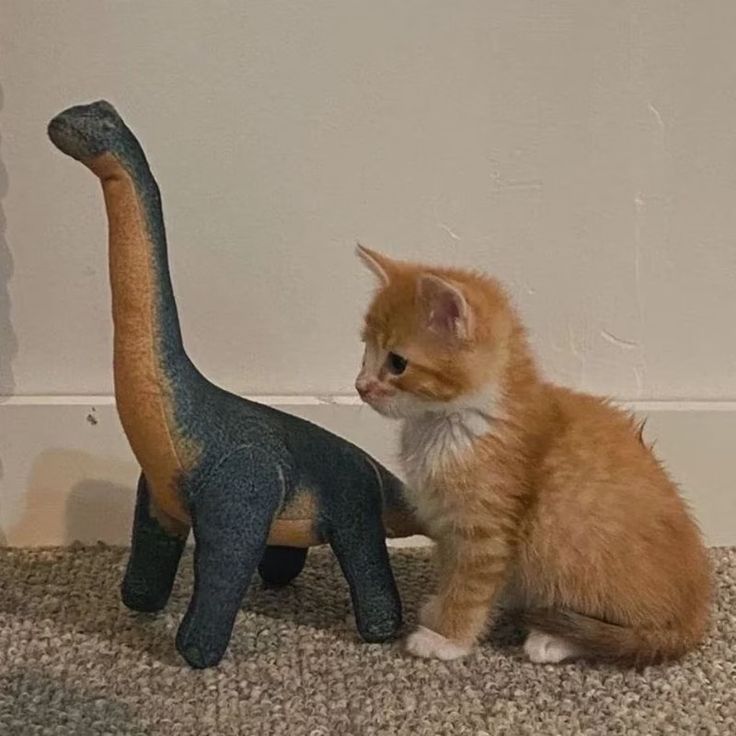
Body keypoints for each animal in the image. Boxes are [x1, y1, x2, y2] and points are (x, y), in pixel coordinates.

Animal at [354, 247, 712, 668]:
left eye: (396, 362)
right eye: (365, 351)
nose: (360, 387)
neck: (448, 424)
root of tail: (694, 612)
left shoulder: (486, 531)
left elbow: (470, 587)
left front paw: (448, 638)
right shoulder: (447, 525)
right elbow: (451, 574)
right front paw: (440, 610)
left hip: (568, 542)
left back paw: (552, 639)